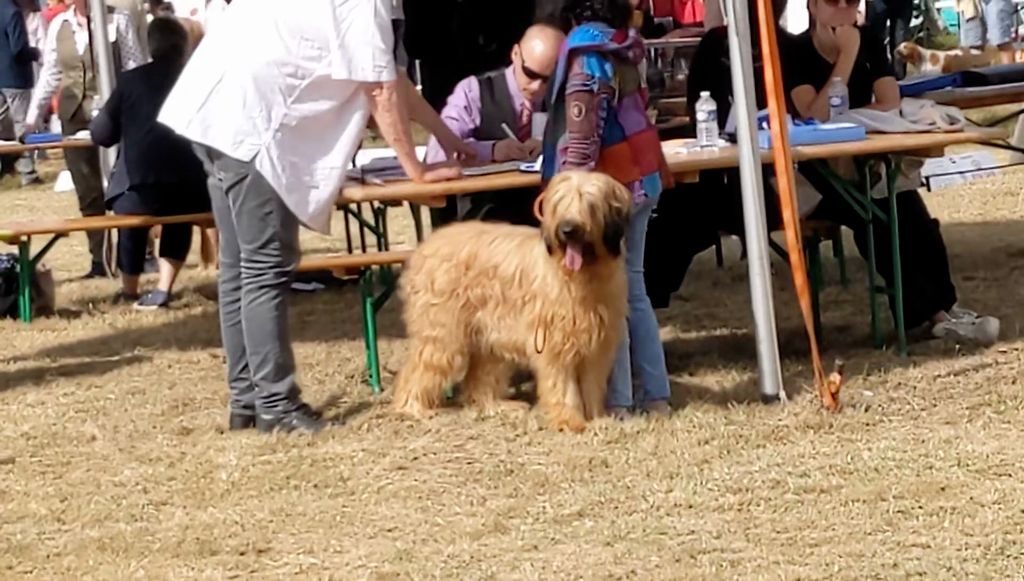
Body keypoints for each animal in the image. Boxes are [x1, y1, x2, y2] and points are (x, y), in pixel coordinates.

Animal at [391, 169, 630, 432]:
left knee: (480, 378)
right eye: (560, 203)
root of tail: (425, 247)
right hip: (443, 333)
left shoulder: (597, 345)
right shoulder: (555, 343)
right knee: (421, 367)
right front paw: (570, 421)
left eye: (590, 204)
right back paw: (413, 407)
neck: (579, 276)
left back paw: (496, 406)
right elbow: (563, 385)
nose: (568, 230)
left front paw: (597, 418)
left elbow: (592, 383)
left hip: (489, 335)